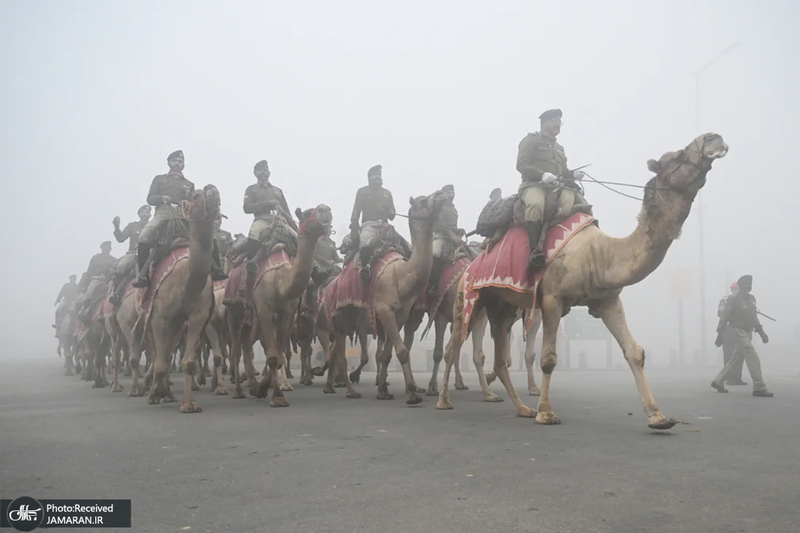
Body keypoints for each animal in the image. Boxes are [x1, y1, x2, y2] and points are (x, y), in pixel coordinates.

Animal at [141, 184, 227, 412]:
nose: (212, 190)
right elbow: (160, 360)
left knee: (167, 351)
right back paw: (153, 390)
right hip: (151, 317)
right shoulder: (159, 317)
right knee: (157, 353)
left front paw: (188, 404)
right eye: (196, 195)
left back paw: (168, 393)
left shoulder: (198, 316)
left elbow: (187, 361)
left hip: (177, 325)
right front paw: (156, 393)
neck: (186, 284)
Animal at [227, 204, 332, 404]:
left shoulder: (287, 315)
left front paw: (265, 389)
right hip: (234, 311)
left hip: (251, 321)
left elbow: (279, 354)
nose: (326, 210)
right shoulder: (264, 310)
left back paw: (253, 385)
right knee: (236, 350)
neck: (281, 282)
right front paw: (277, 397)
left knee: (247, 346)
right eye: (307, 213)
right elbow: (274, 356)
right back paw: (237, 390)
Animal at [438, 133, 732, 428]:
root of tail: (472, 263)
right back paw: (444, 400)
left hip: (503, 307)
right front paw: (546, 412)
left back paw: (522, 408)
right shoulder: (552, 299)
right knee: (453, 348)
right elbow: (548, 357)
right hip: (469, 298)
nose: (714, 138)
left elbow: (634, 352)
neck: (598, 253)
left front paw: (658, 416)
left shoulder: (608, 300)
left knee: (499, 359)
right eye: (676, 157)